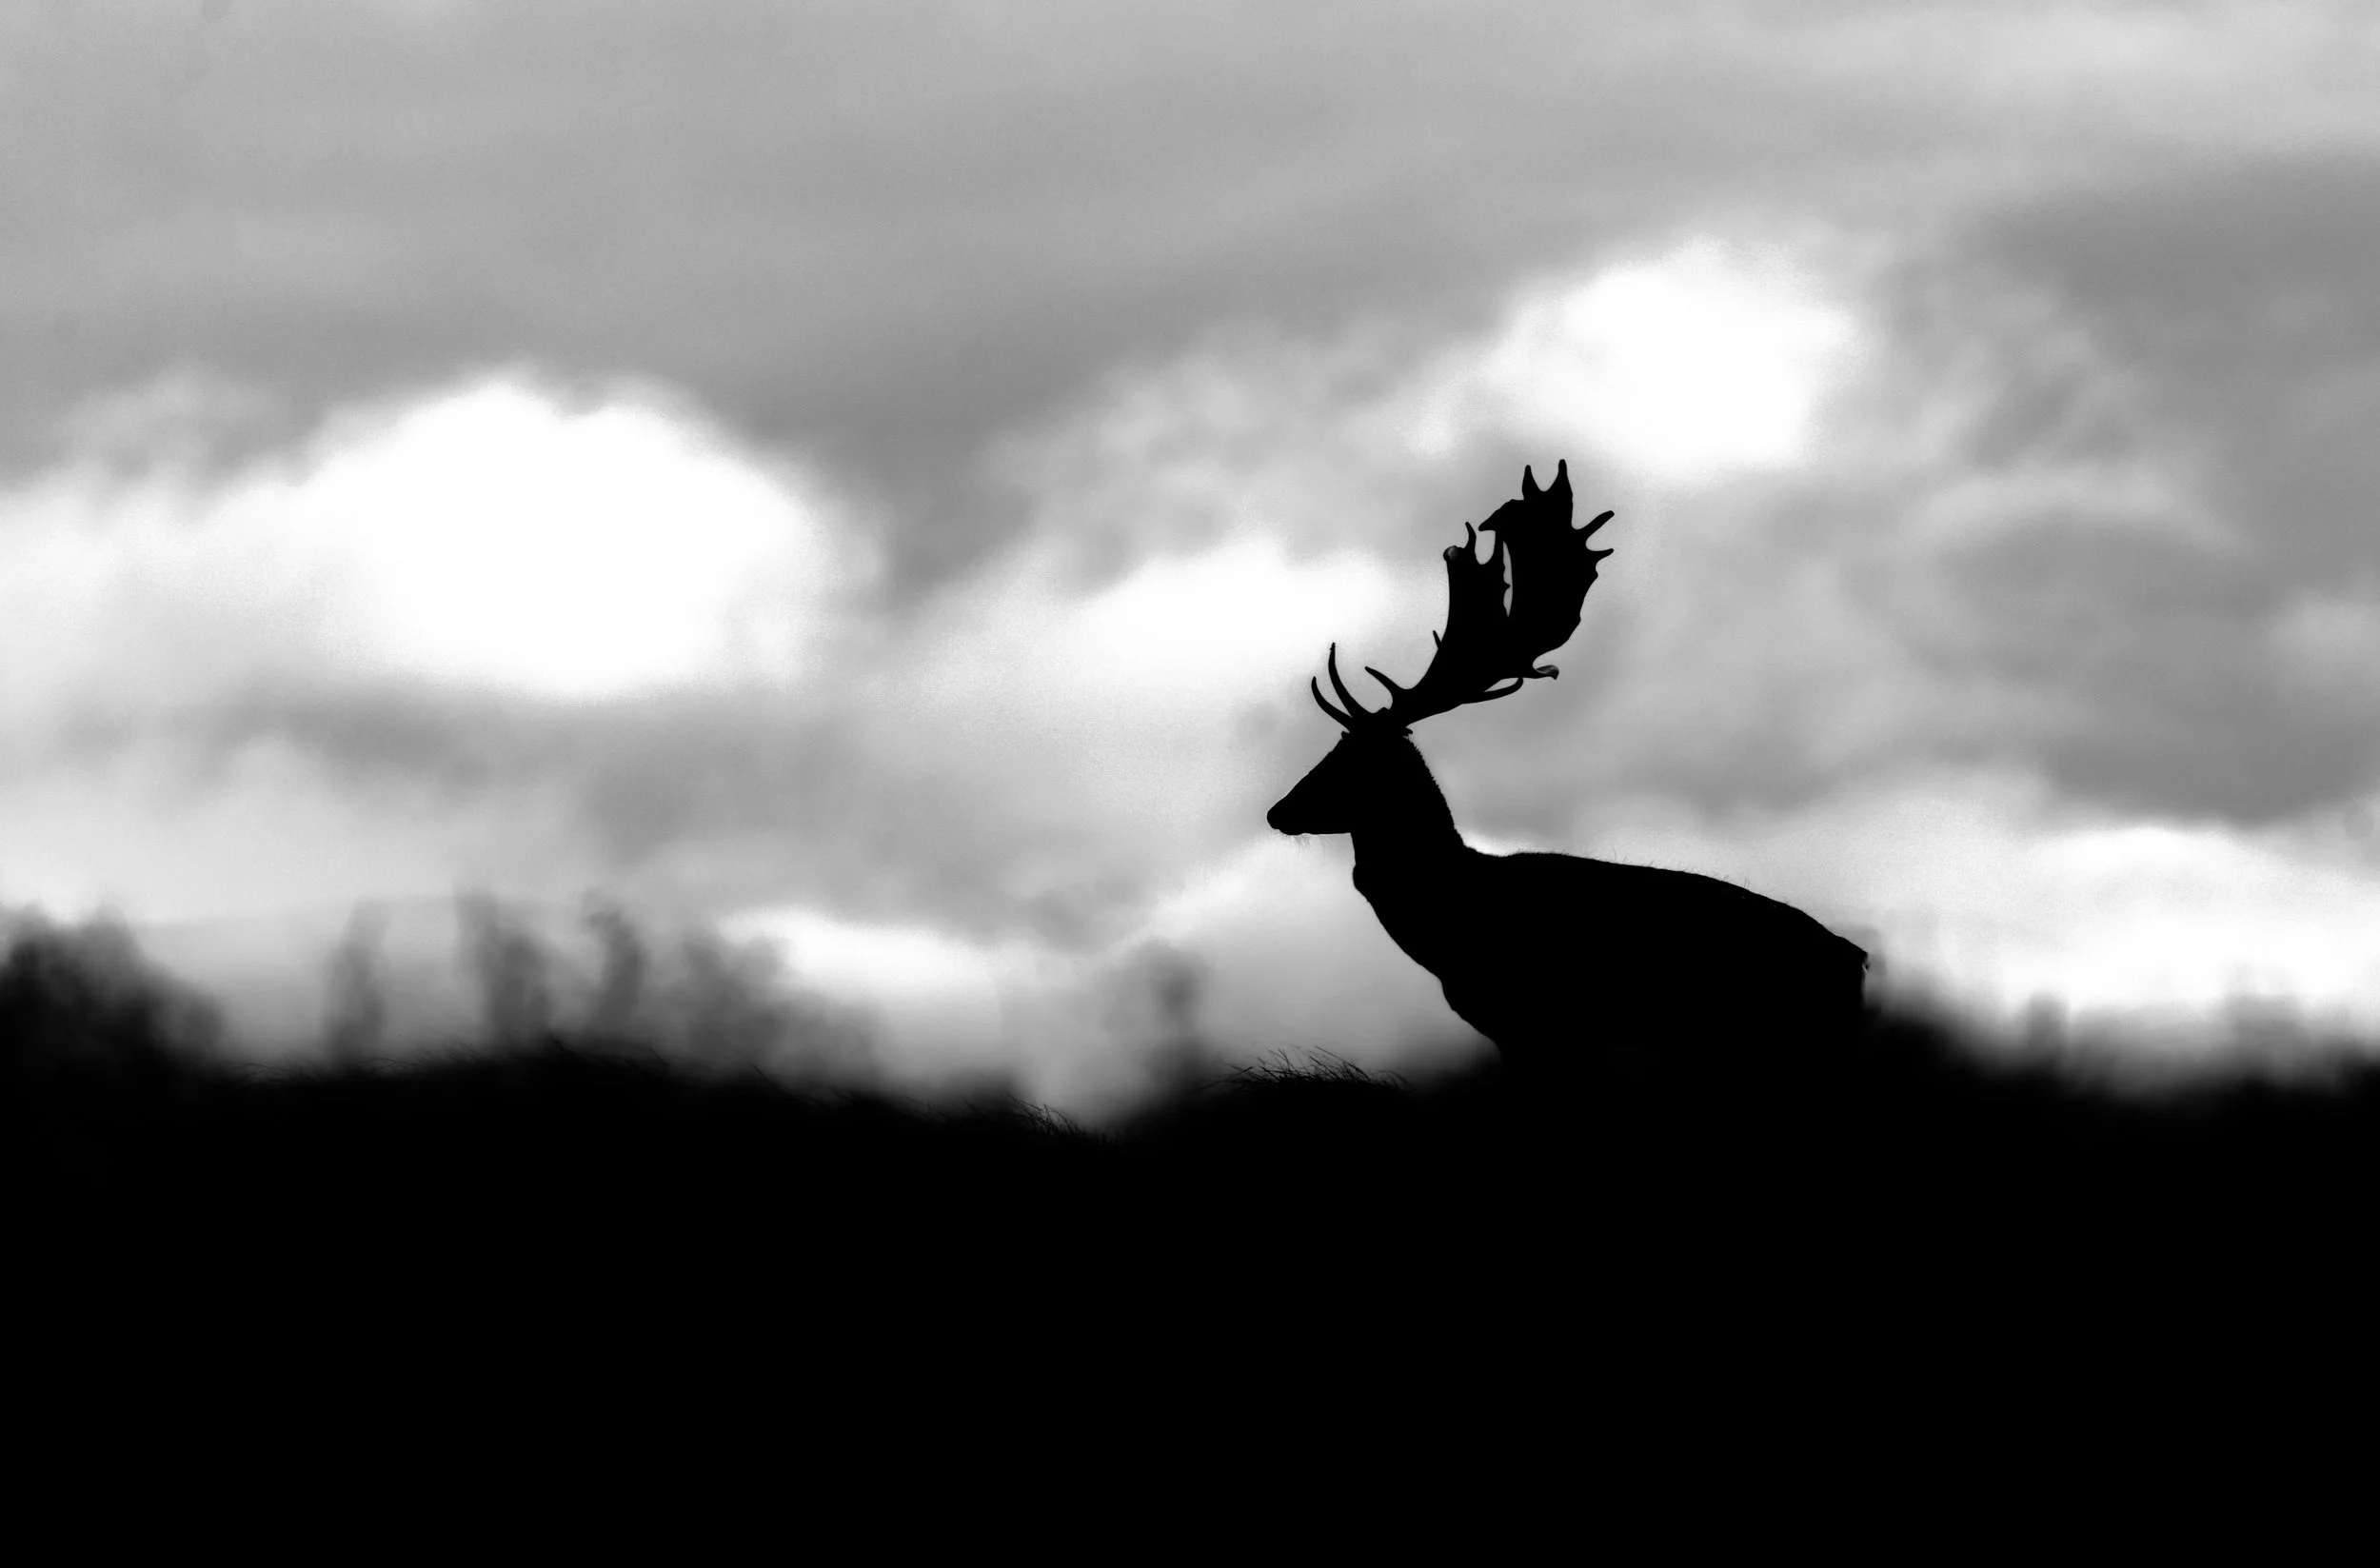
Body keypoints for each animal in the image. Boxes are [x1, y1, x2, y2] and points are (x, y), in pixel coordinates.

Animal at [1267, 461, 1869, 1084]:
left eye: (1355, 760)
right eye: (1332, 749)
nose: (1278, 811)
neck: (1456, 919)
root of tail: (1854, 962)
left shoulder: (1537, 1023)